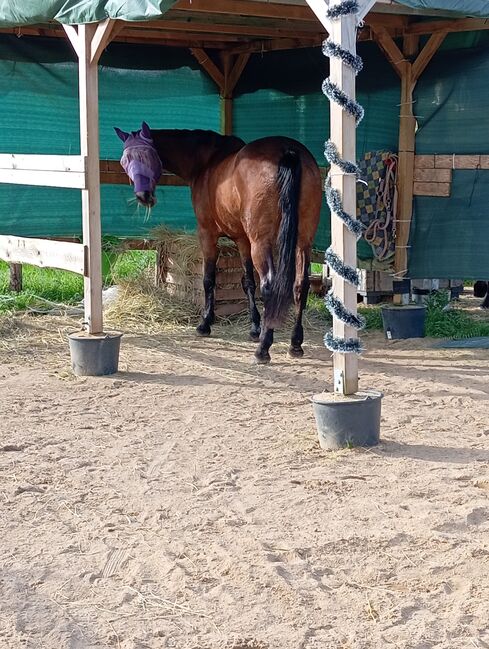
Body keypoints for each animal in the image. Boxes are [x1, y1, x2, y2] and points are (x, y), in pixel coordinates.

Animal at [114, 122, 320, 364]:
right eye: (124, 161)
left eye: (147, 156)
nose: (143, 195)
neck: (206, 160)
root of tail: (288, 150)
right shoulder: (242, 240)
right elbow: (248, 282)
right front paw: (254, 327)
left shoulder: (208, 234)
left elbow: (208, 279)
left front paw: (205, 324)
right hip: (303, 240)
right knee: (301, 284)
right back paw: (295, 343)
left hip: (262, 242)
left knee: (269, 286)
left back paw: (263, 349)